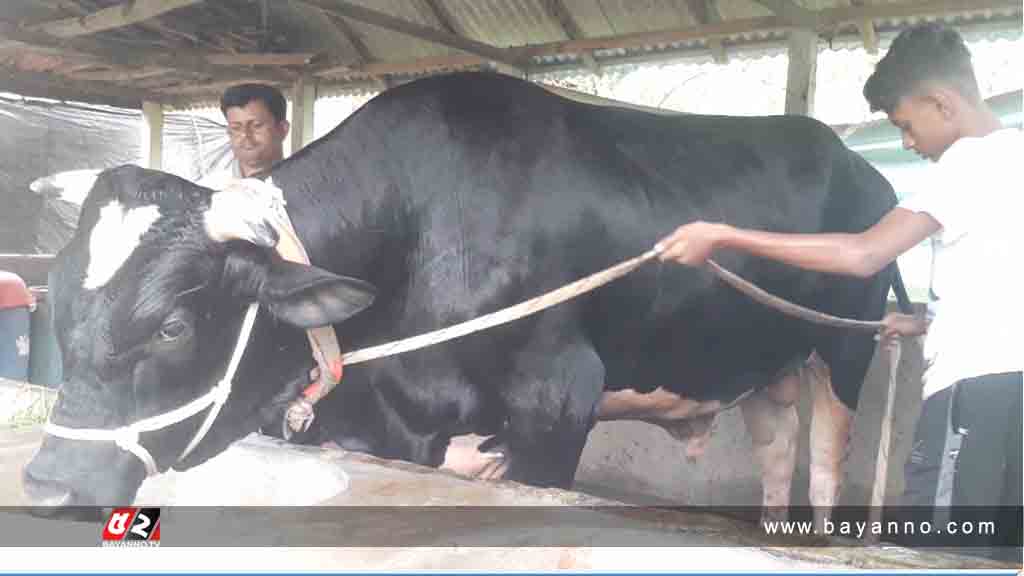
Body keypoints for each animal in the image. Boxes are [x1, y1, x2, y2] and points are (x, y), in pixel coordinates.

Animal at [22, 71, 905, 520]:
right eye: (57, 305)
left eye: (173, 325)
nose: (47, 485)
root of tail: (856, 160)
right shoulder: (382, 426)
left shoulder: (559, 403)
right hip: (759, 366)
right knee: (777, 452)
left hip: (845, 348)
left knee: (824, 465)